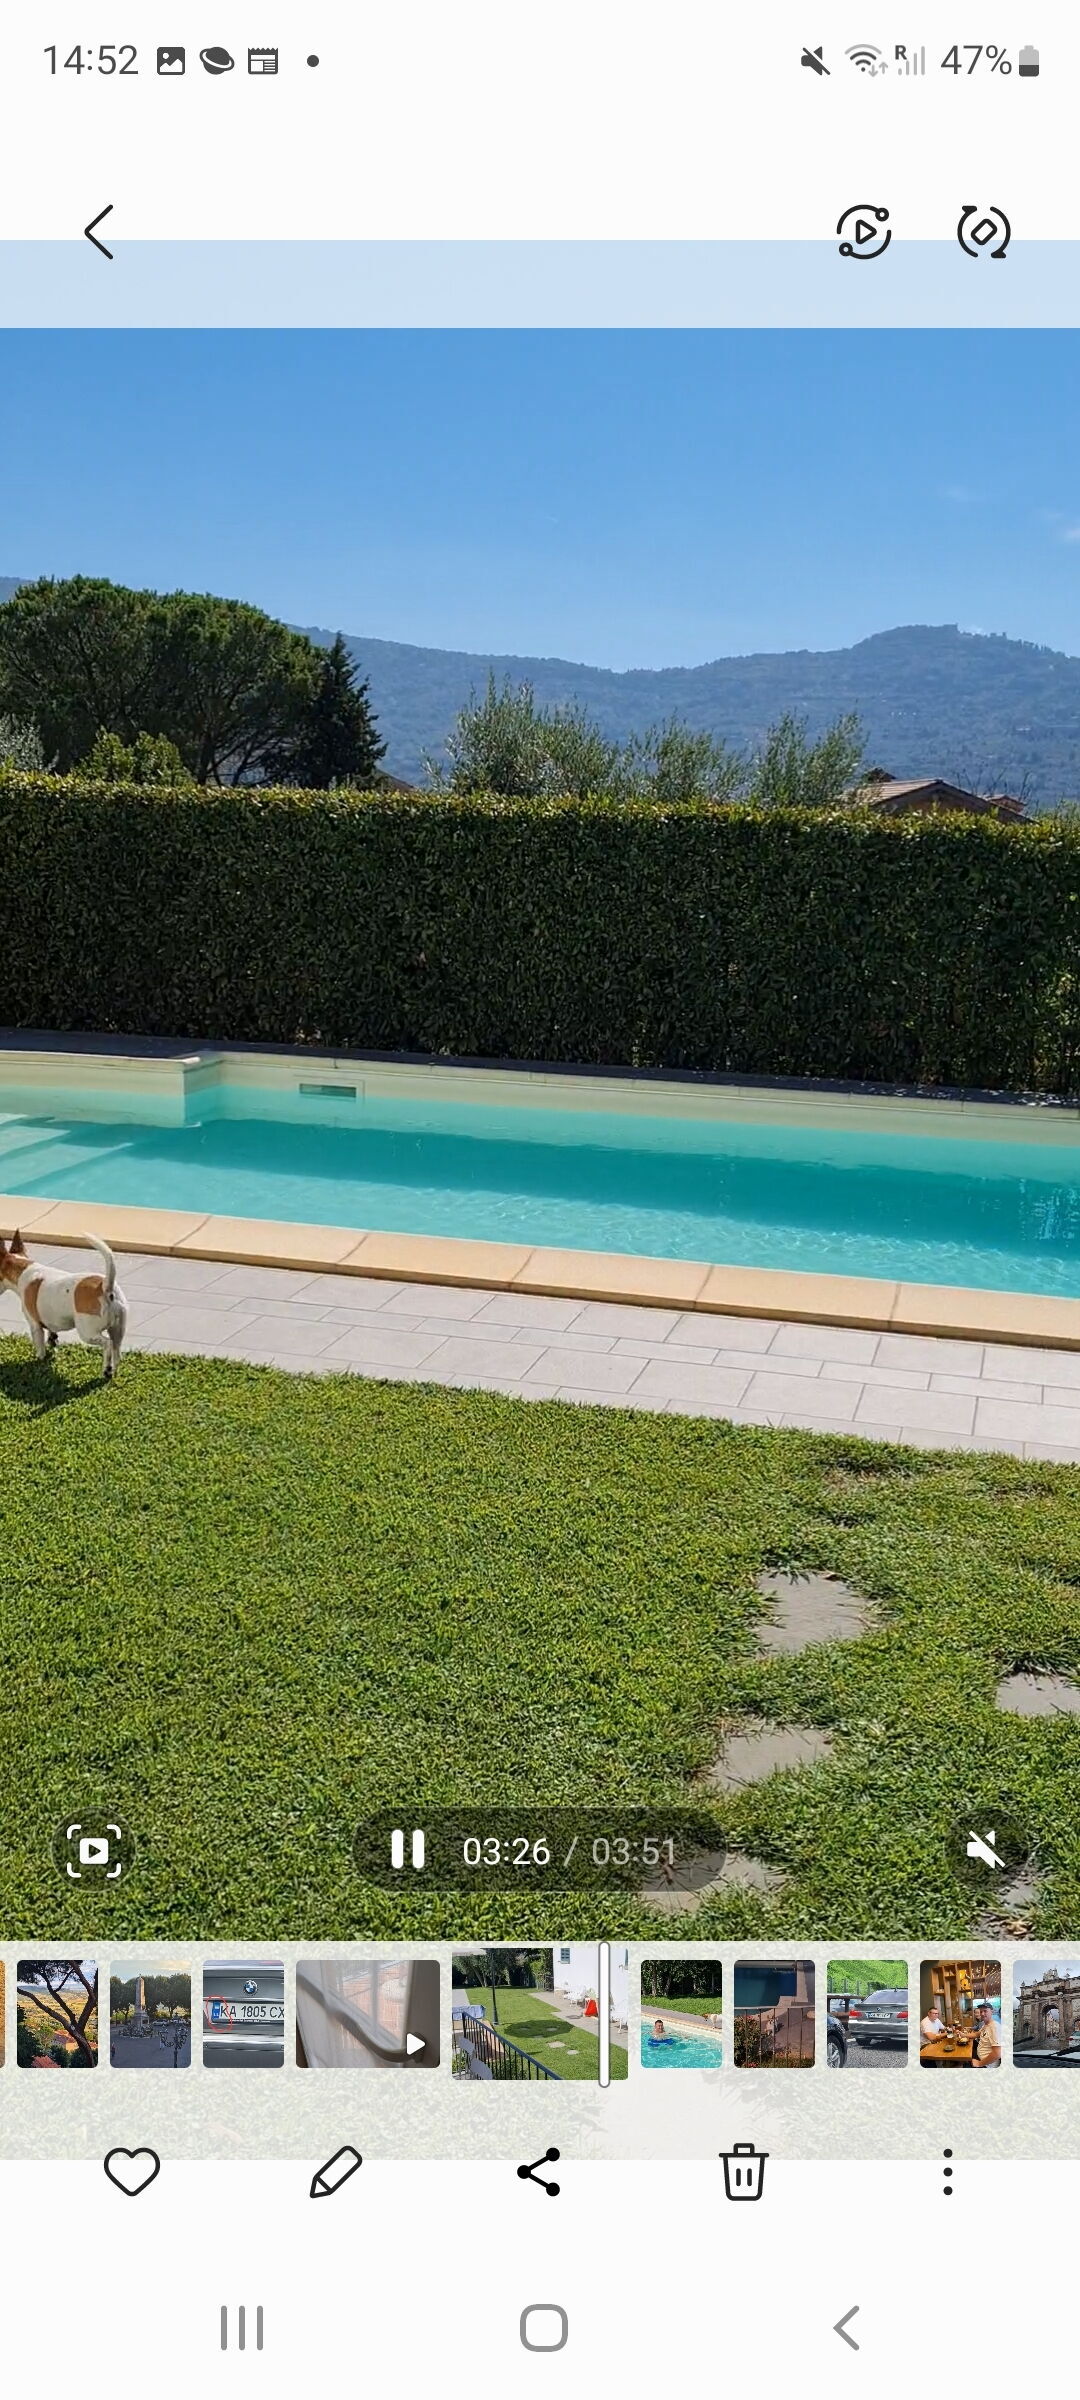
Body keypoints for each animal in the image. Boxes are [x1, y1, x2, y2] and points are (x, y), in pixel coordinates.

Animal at [0, 1229, 128, 1380]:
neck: (23, 1269)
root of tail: (105, 1287)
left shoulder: (35, 1325)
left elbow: (39, 1346)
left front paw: (39, 1360)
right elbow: (52, 1331)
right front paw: (52, 1341)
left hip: (87, 1332)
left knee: (107, 1344)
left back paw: (107, 1369)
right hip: (118, 1328)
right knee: (116, 1350)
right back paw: (113, 1371)